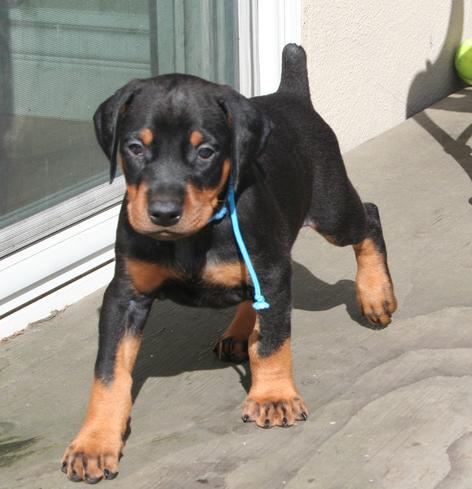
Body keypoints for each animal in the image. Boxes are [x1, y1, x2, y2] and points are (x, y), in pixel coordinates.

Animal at [61, 44, 396, 483]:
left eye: (205, 152)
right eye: (135, 147)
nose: (162, 213)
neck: (194, 236)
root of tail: (291, 95)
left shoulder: (271, 270)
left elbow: (273, 340)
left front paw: (273, 396)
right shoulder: (124, 296)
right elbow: (109, 372)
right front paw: (95, 443)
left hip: (332, 210)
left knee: (368, 217)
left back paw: (375, 295)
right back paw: (239, 332)